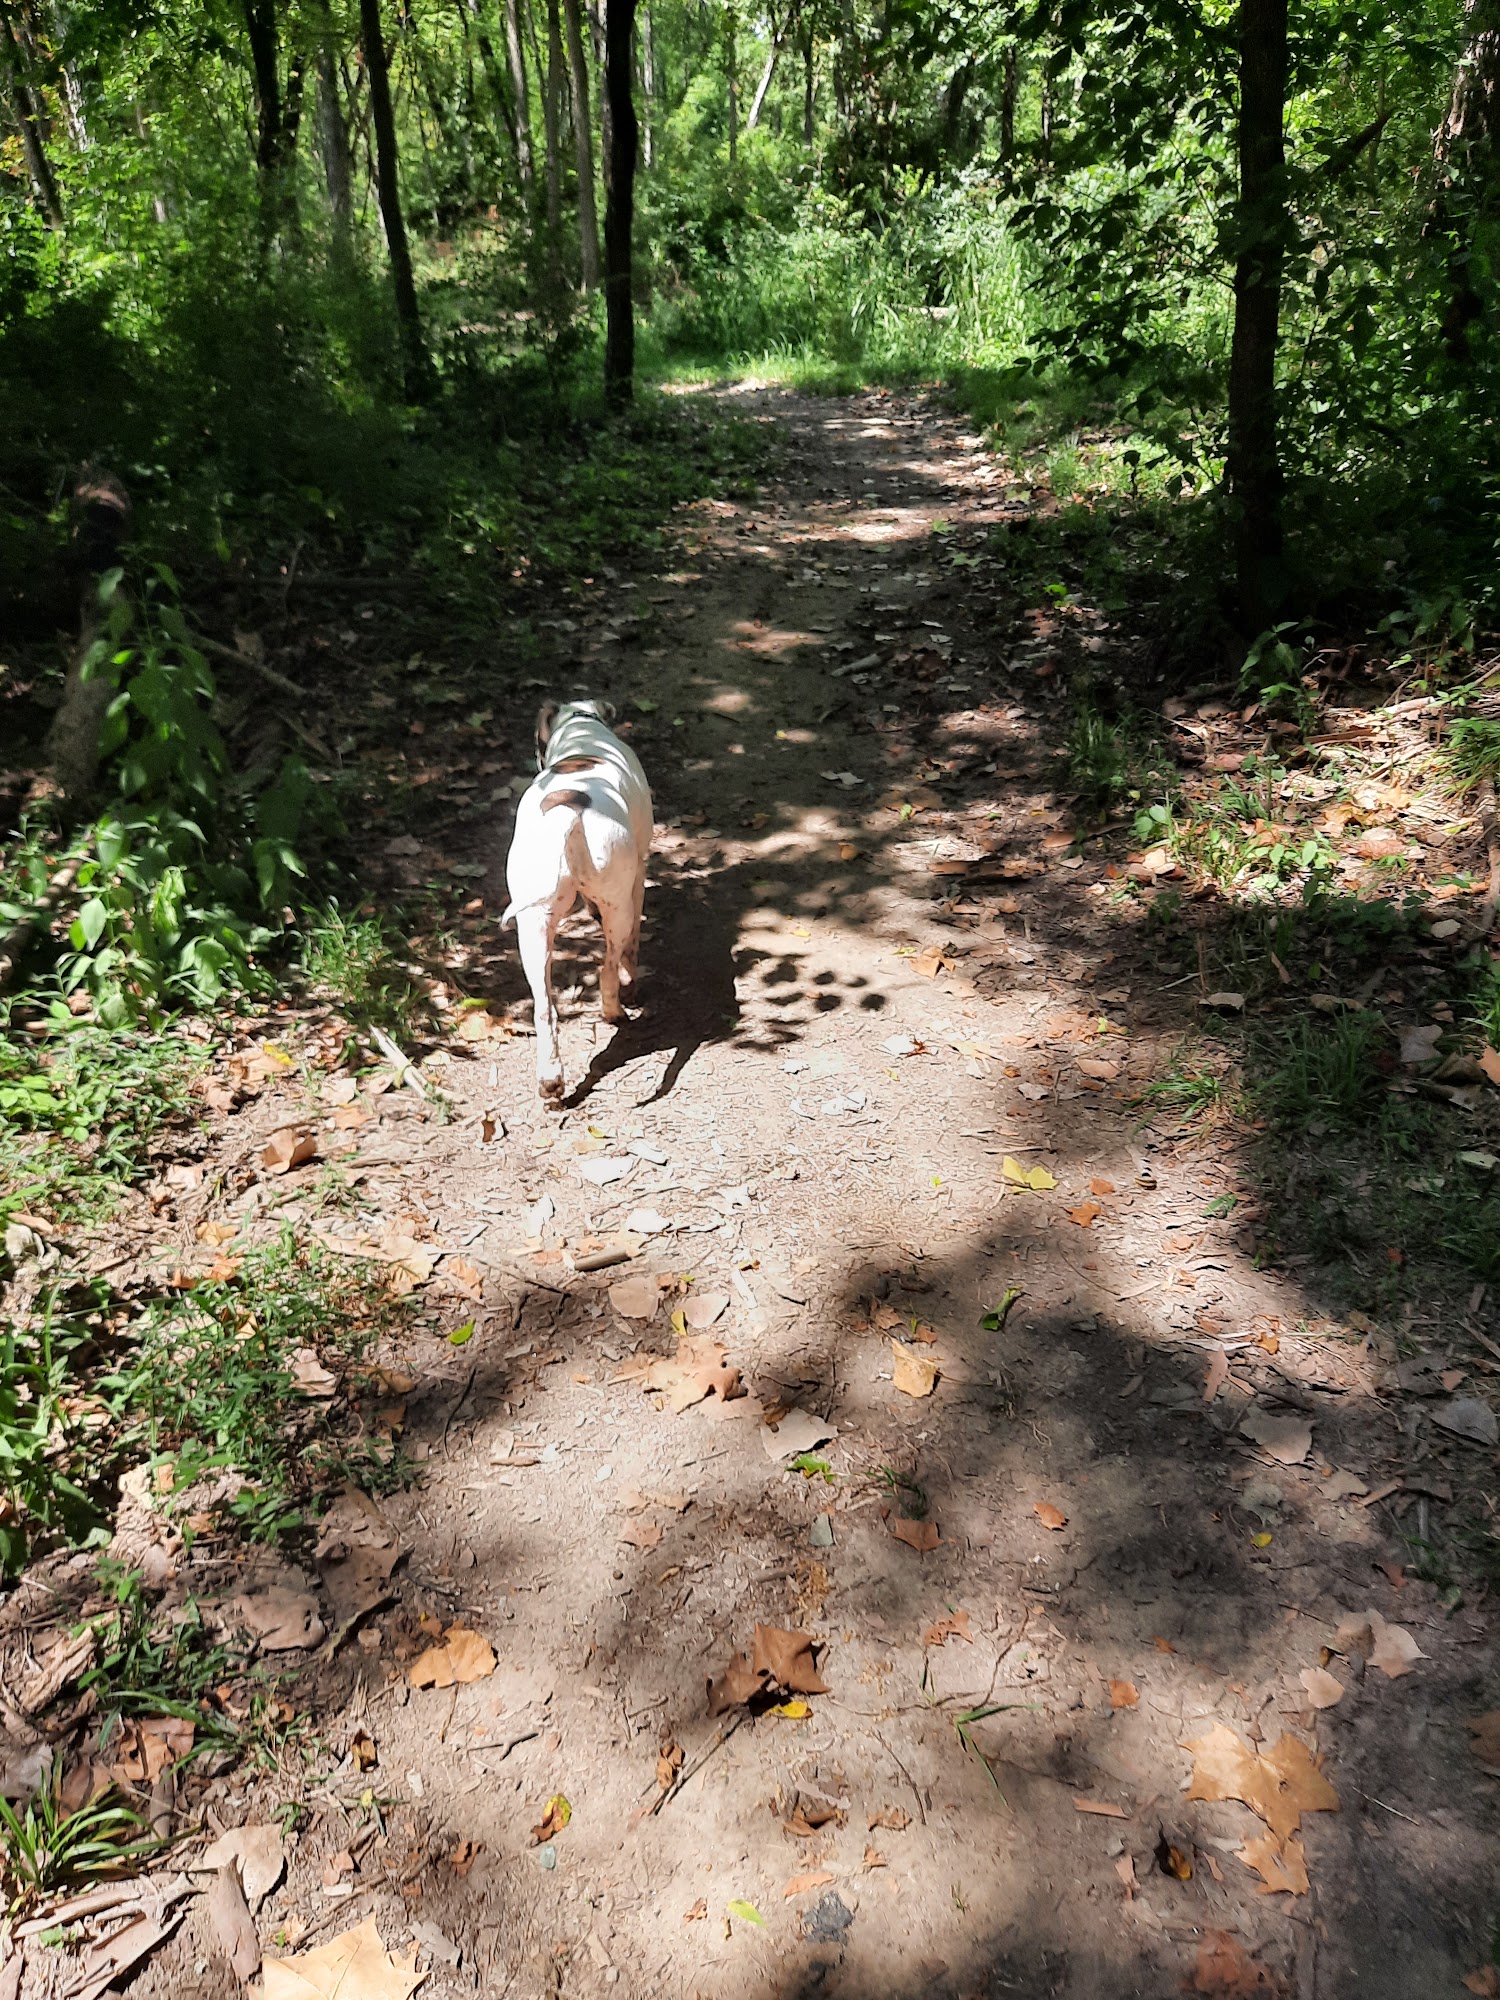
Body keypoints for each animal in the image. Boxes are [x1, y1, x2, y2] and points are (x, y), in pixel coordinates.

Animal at [501, 699, 653, 1101]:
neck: (580, 726)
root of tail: (569, 815)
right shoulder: (639, 874)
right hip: (620, 907)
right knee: (608, 967)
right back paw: (616, 1010)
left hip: (533, 929)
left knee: (544, 1008)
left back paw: (550, 1080)